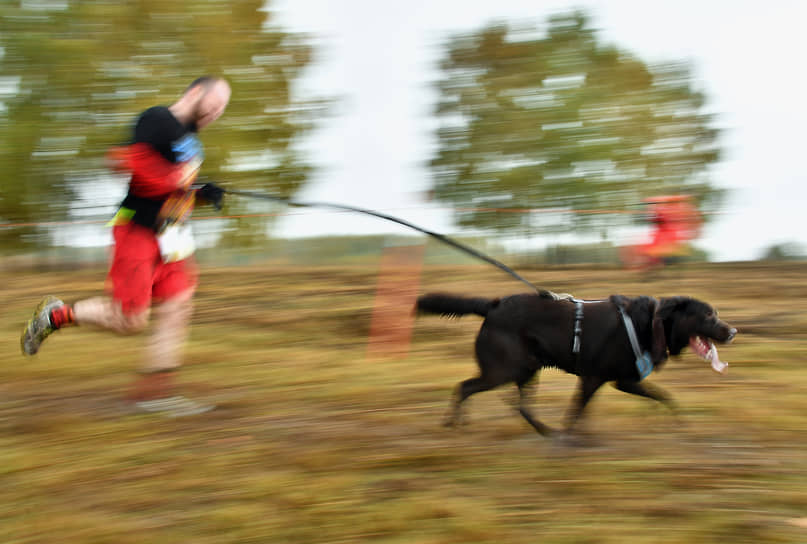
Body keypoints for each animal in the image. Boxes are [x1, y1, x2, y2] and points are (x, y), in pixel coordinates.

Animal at [416, 292, 740, 440]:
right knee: (465, 387)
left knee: (518, 406)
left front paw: (676, 422)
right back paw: (453, 423)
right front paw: (573, 436)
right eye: (708, 315)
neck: (651, 324)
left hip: (526, 369)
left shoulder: (619, 381)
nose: (734, 332)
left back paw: (543, 430)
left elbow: (662, 396)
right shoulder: (601, 379)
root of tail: (492, 305)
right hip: (504, 370)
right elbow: (576, 410)